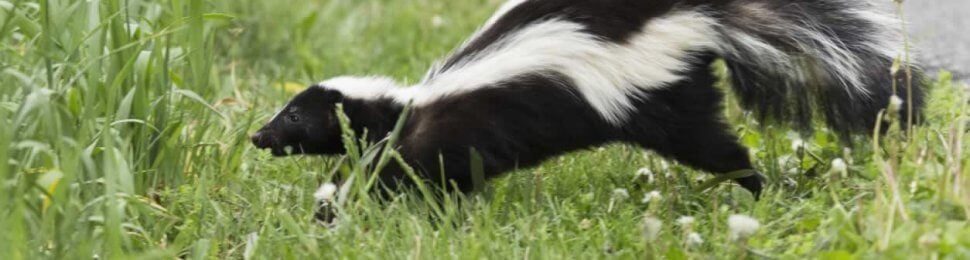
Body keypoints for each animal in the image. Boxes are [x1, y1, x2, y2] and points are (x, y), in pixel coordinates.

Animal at [250, 0, 924, 200]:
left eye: (293, 115)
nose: (256, 136)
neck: (406, 105)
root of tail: (689, 17)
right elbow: (373, 168)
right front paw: (336, 201)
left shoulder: (444, 132)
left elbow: (421, 172)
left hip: (658, 100)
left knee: (716, 146)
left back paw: (753, 187)